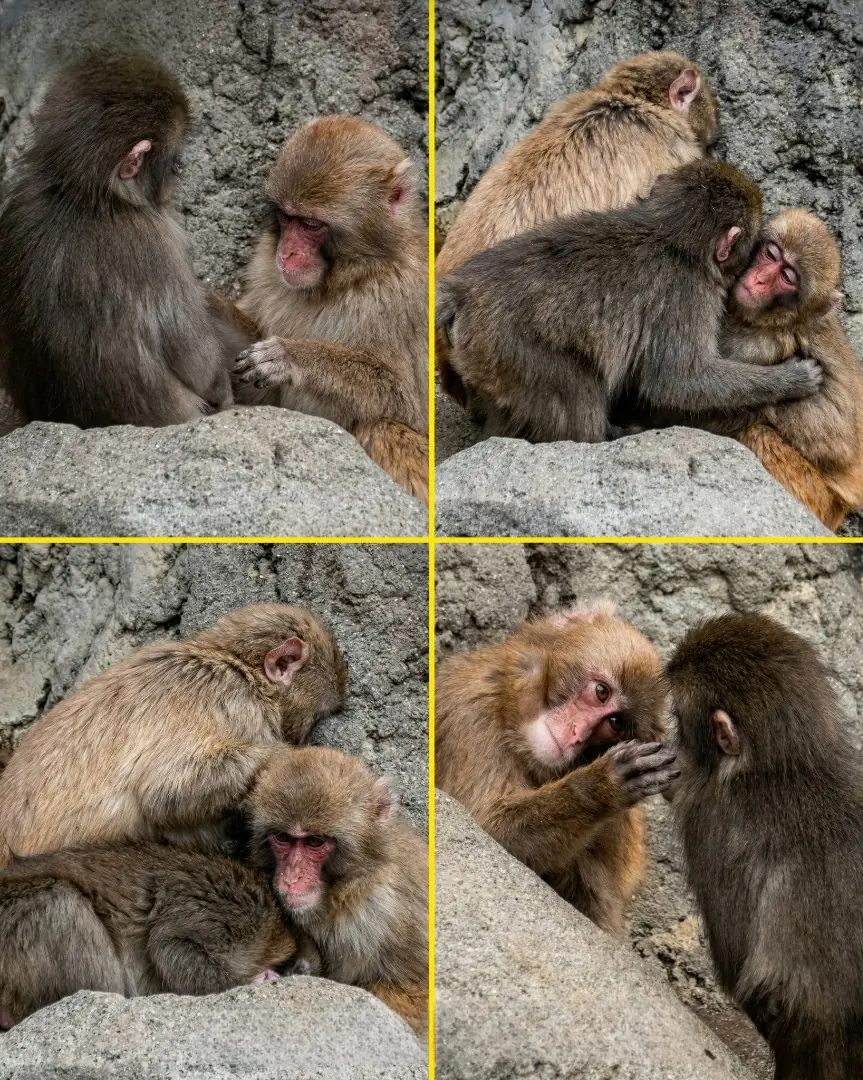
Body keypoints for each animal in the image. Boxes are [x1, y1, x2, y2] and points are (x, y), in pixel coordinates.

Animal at [0, 52, 234, 428]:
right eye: (173, 159)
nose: (181, 169)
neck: (85, 196)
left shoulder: (17, 208)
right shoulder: (159, 241)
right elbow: (194, 358)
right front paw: (220, 385)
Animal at [0, 604, 347, 867]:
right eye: (318, 717)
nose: (303, 737)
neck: (236, 665)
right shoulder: (236, 705)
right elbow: (164, 793)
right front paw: (286, 755)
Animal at [229, 116, 429, 504]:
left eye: (311, 224)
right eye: (286, 217)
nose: (286, 253)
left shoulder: (402, 296)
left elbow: (407, 404)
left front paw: (292, 356)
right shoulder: (263, 264)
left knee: (383, 428)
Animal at [435, 603, 678, 934]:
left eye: (615, 723)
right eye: (601, 691)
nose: (576, 734)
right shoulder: (471, 711)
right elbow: (486, 827)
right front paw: (600, 786)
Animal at [436, 160, 824, 444]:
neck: (670, 234)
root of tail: (463, 290)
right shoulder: (687, 295)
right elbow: (680, 380)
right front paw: (791, 379)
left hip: (484, 357)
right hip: (513, 349)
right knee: (576, 392)